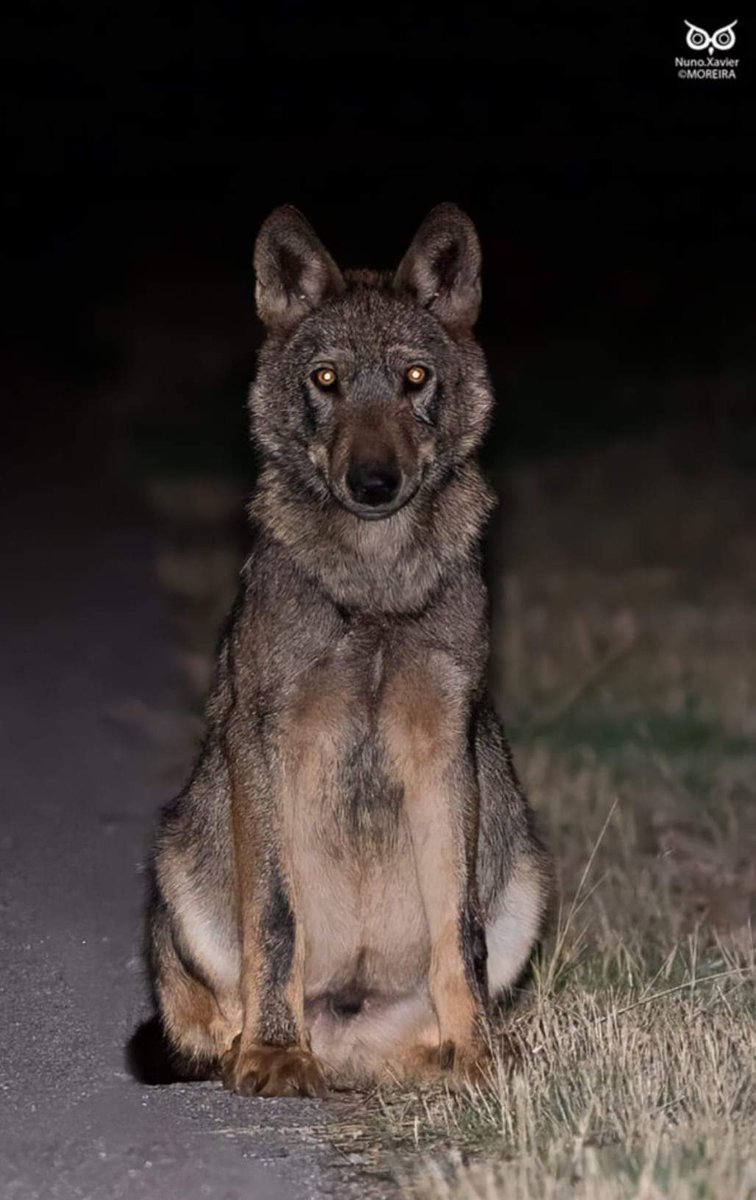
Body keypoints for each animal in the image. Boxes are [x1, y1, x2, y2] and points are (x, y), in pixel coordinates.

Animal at [147, 203, 550, 1097]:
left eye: (414, 379)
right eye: (326, 380)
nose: (373, 482)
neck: (373, 591)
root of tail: (345, 1041)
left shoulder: (446, 743)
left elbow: (458, 932)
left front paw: (479, 1051)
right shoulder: (263, 738)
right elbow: (275, 919)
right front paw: (272, 1053)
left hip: (523, 869)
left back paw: (440, 1059)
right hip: (178, 856)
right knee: (208, 1016)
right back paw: (260, 1047)